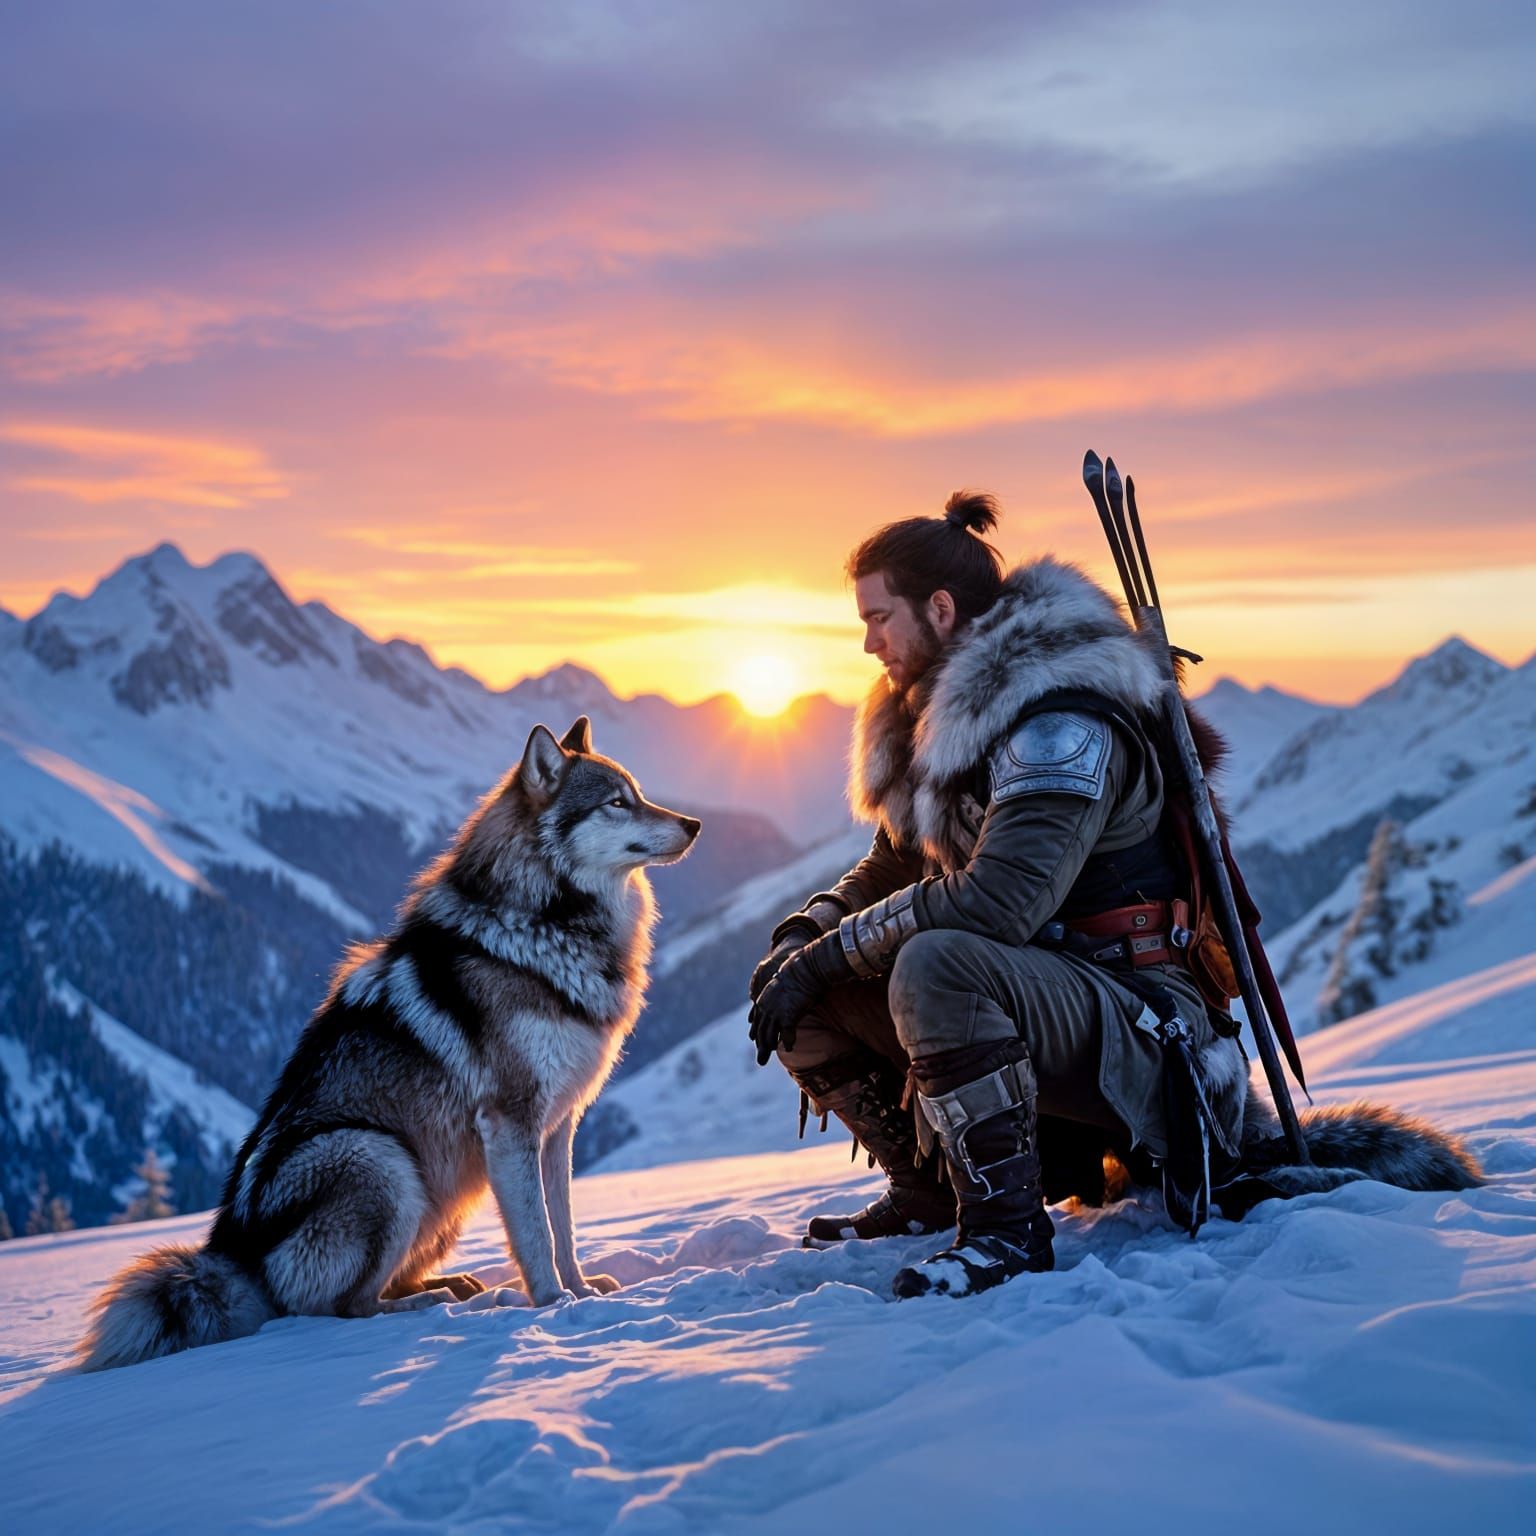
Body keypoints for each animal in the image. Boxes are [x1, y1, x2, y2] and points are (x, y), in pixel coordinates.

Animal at [78, 716, 699, 1371]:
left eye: (637, 793)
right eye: (617, 803)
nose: (694, 825)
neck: (546, 923)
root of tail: (237, 1258)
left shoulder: (556, 1129)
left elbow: (565, 1227)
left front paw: (583, 1292)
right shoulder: (510, 1123)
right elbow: (536, 1234)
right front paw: (554, 1305)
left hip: (442, 1192)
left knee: (382, 1285)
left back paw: (457, 1286)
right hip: (381, 1158)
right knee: (344, 1307)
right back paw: (449, 1303)